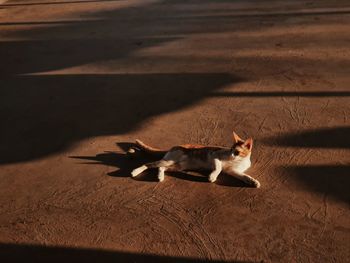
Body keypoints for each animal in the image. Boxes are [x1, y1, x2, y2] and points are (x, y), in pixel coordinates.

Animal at [129, 131, 260, 188]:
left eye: (237, 152)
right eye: (231, 149)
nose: (232, 154)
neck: (239, 160)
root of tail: (173, 146)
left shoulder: (233, 171)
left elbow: (243, 176)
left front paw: (253, 182)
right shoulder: (215, 155)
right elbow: (218, 168)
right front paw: (212, 176)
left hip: (178, 166)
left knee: (161, 167)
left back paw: (160, 177)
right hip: (170, 161)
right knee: (148, 163)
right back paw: (135, 172)